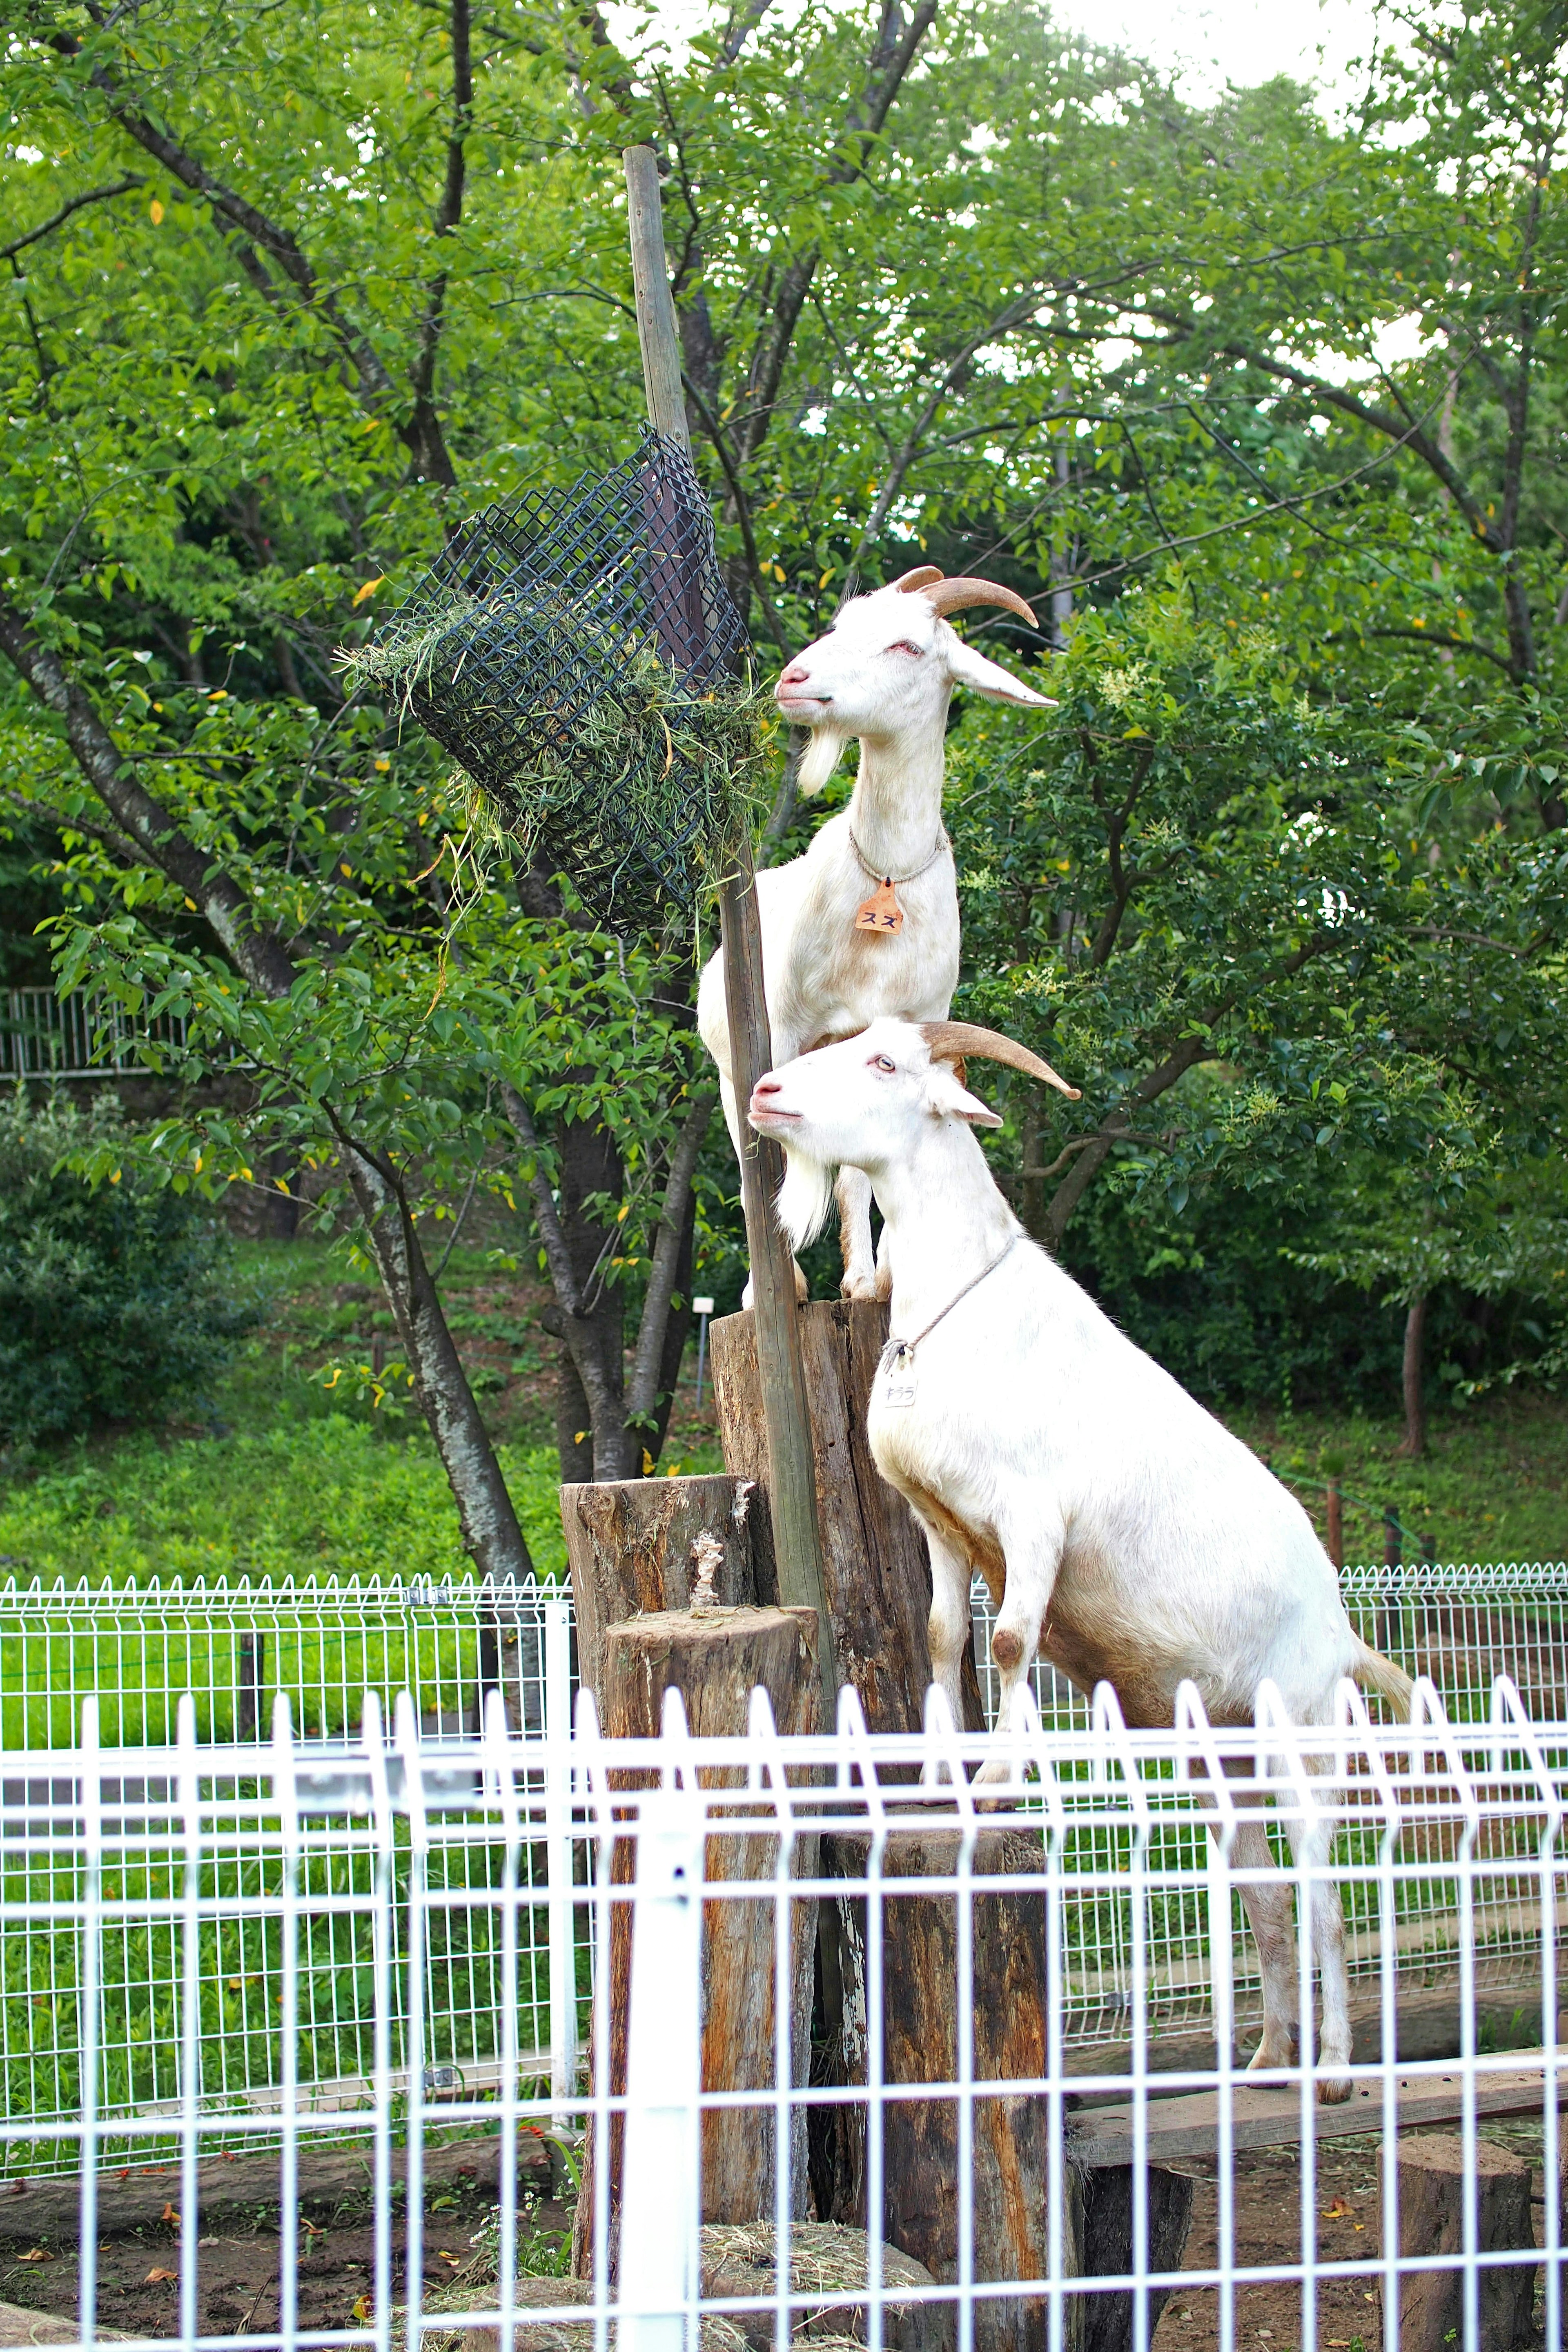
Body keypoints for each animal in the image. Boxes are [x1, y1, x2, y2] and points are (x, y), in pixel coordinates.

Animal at [700, 569, 1053, 1307]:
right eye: (841, 625)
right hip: (729, 1062)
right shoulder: (782, 1030)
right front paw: (783, 1286)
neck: (888, 874)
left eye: (908, 646)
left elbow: (864, 1165)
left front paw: (873, 1279)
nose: (795, 678)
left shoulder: (913, 1021)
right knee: (749, 1156)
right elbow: (770, 1161)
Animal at [743, 1011, 1420, 2098]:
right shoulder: (940, 1522)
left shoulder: (1033, 1522)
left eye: (884, 1062)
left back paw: (1331, 2069)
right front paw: (938, 1773)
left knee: (1323, 1877)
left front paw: (998, 1779)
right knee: (1264, 1879)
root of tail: (1344, 1623)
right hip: (1213, 1741)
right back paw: (1266, 2056)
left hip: (1304, 1721)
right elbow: (944, 1634)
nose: (766, 1092)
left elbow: (1010, 1642)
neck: (960, 1310)